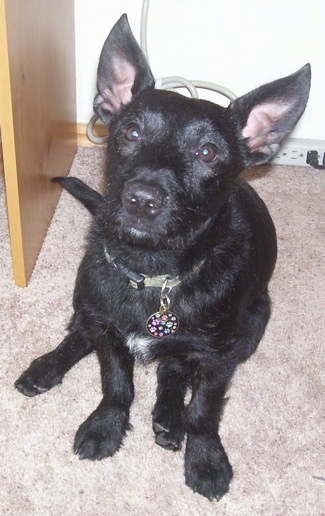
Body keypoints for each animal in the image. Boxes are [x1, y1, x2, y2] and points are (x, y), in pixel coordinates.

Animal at [14, 15, 308, 500]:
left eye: (208, 152)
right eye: (130, 132)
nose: (142, 199)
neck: (154, 274)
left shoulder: (220, 357)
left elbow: (205, 409)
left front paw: (205, 458)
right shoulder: (109, 331)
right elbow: (117, 385)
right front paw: (105, 427)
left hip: (252, 327)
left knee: (174, 368)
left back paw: (171, 419)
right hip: (85, 294)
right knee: (80, 332)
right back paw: (48, 367)